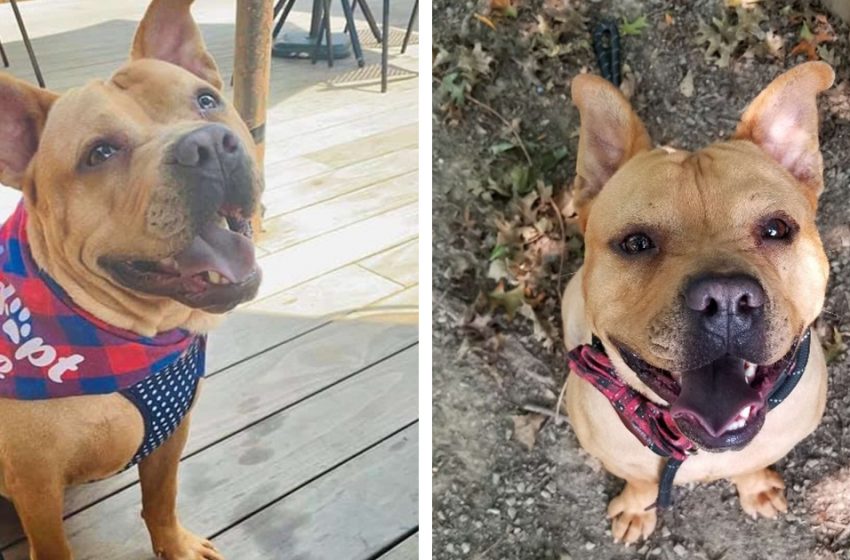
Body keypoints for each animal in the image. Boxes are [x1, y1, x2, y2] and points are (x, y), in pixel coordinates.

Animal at [0, 1, 262, 560]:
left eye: (206, 101)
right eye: (99, 153)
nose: (208, 144)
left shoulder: (171, 434)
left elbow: (160, 498)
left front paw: (175, 545)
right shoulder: (35, 483)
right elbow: (53, 546)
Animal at [560, 61, 832, 544]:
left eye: (777, 229)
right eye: (636, 243)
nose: (725, 299)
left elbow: (754, 463)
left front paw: (756, 487)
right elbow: (639, 480)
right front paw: (637, 507)